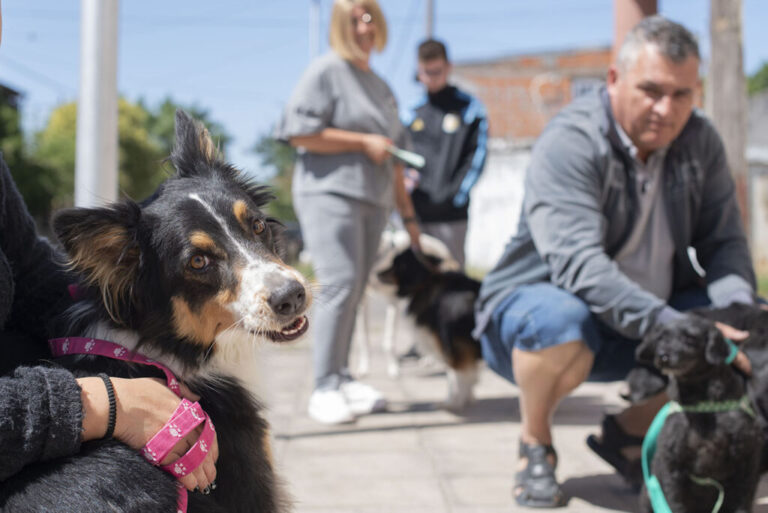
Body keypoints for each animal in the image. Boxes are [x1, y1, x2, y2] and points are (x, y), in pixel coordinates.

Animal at [376, 246, 480, 410]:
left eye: (396, 263)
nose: (377, 273)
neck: (426, 284)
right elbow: (467, 377)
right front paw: (467, 398)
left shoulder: (453, 348)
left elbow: (455, 377)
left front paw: (453, 402)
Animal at [636, 316, 760, 512]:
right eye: (661, 338)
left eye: (690, 338)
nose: (663, 357)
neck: (703, 406)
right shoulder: (672, 463)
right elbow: (673, 502)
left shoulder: (747, 459)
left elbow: (741, 500)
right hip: (649, 494)